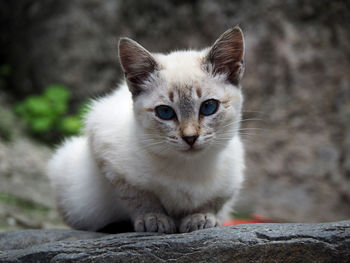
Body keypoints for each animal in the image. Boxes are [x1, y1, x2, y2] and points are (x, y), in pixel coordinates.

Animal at [47, 26, 246, 233]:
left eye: (208, 107)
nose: (190, 138)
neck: (187, 167)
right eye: (165, 112)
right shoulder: (107, 154)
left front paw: (202, 217)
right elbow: (140, 197)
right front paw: (154, 219)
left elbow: (213, 202)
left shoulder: (231, 180)